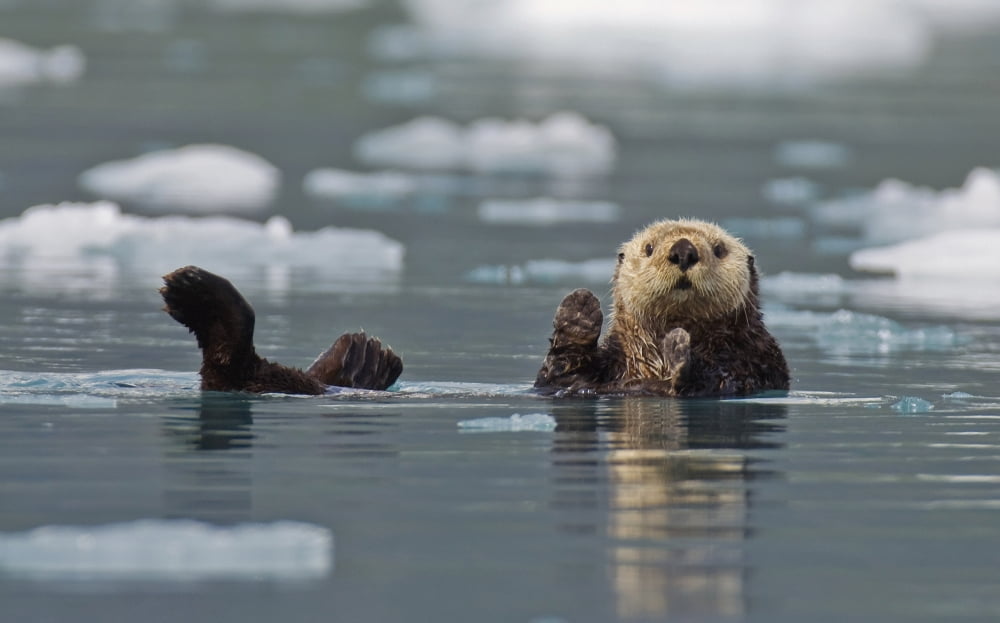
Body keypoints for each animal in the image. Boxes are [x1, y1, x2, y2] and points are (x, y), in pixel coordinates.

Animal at [534, 218, 789, 397]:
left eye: (719, 250)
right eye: (649, 248)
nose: (684, 250)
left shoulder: (754, 359)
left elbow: (719, 380)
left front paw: (679, 348)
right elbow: (556, 378)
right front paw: (578, 312)